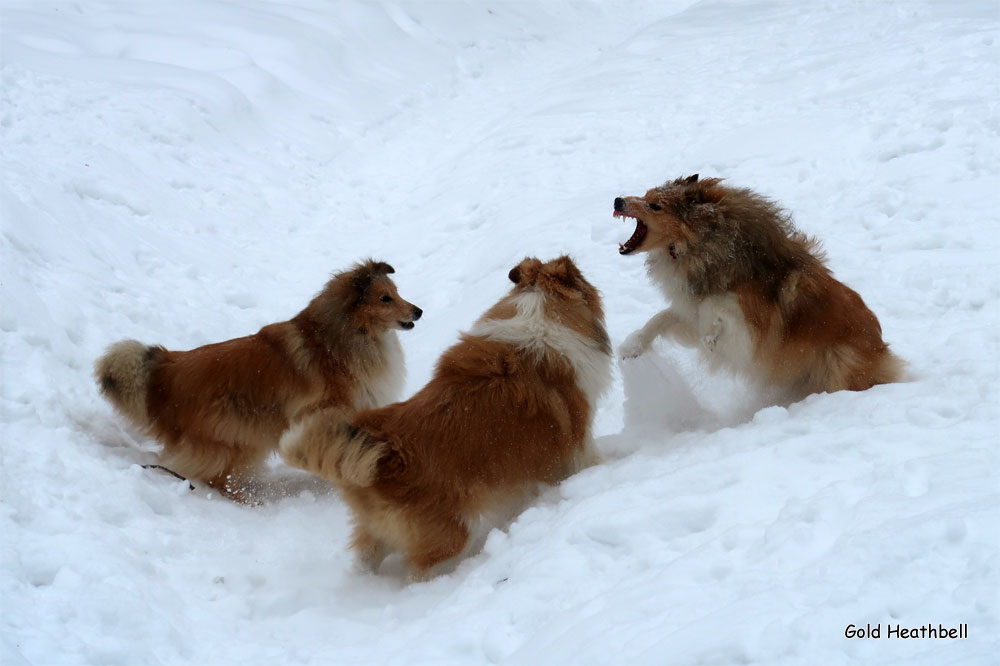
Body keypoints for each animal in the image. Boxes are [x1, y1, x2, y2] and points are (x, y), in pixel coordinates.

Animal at [95, 258, 420, 498]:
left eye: (397, 292)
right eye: (385, 298)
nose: (418, 311)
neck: (344, 334)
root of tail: (165, 370)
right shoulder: (328, 410)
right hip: (242, 430)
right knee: (218, 478)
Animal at [612, 174, 904, 396]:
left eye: (655, 205)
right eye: (645, 193)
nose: (618, 200)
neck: (705, 243)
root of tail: (883, 349)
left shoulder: (751, 334)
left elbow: (715, 306)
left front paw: (711, 335)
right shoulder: (690, 311)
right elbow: (662, 317)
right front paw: (631, 346)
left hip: (840, 362)